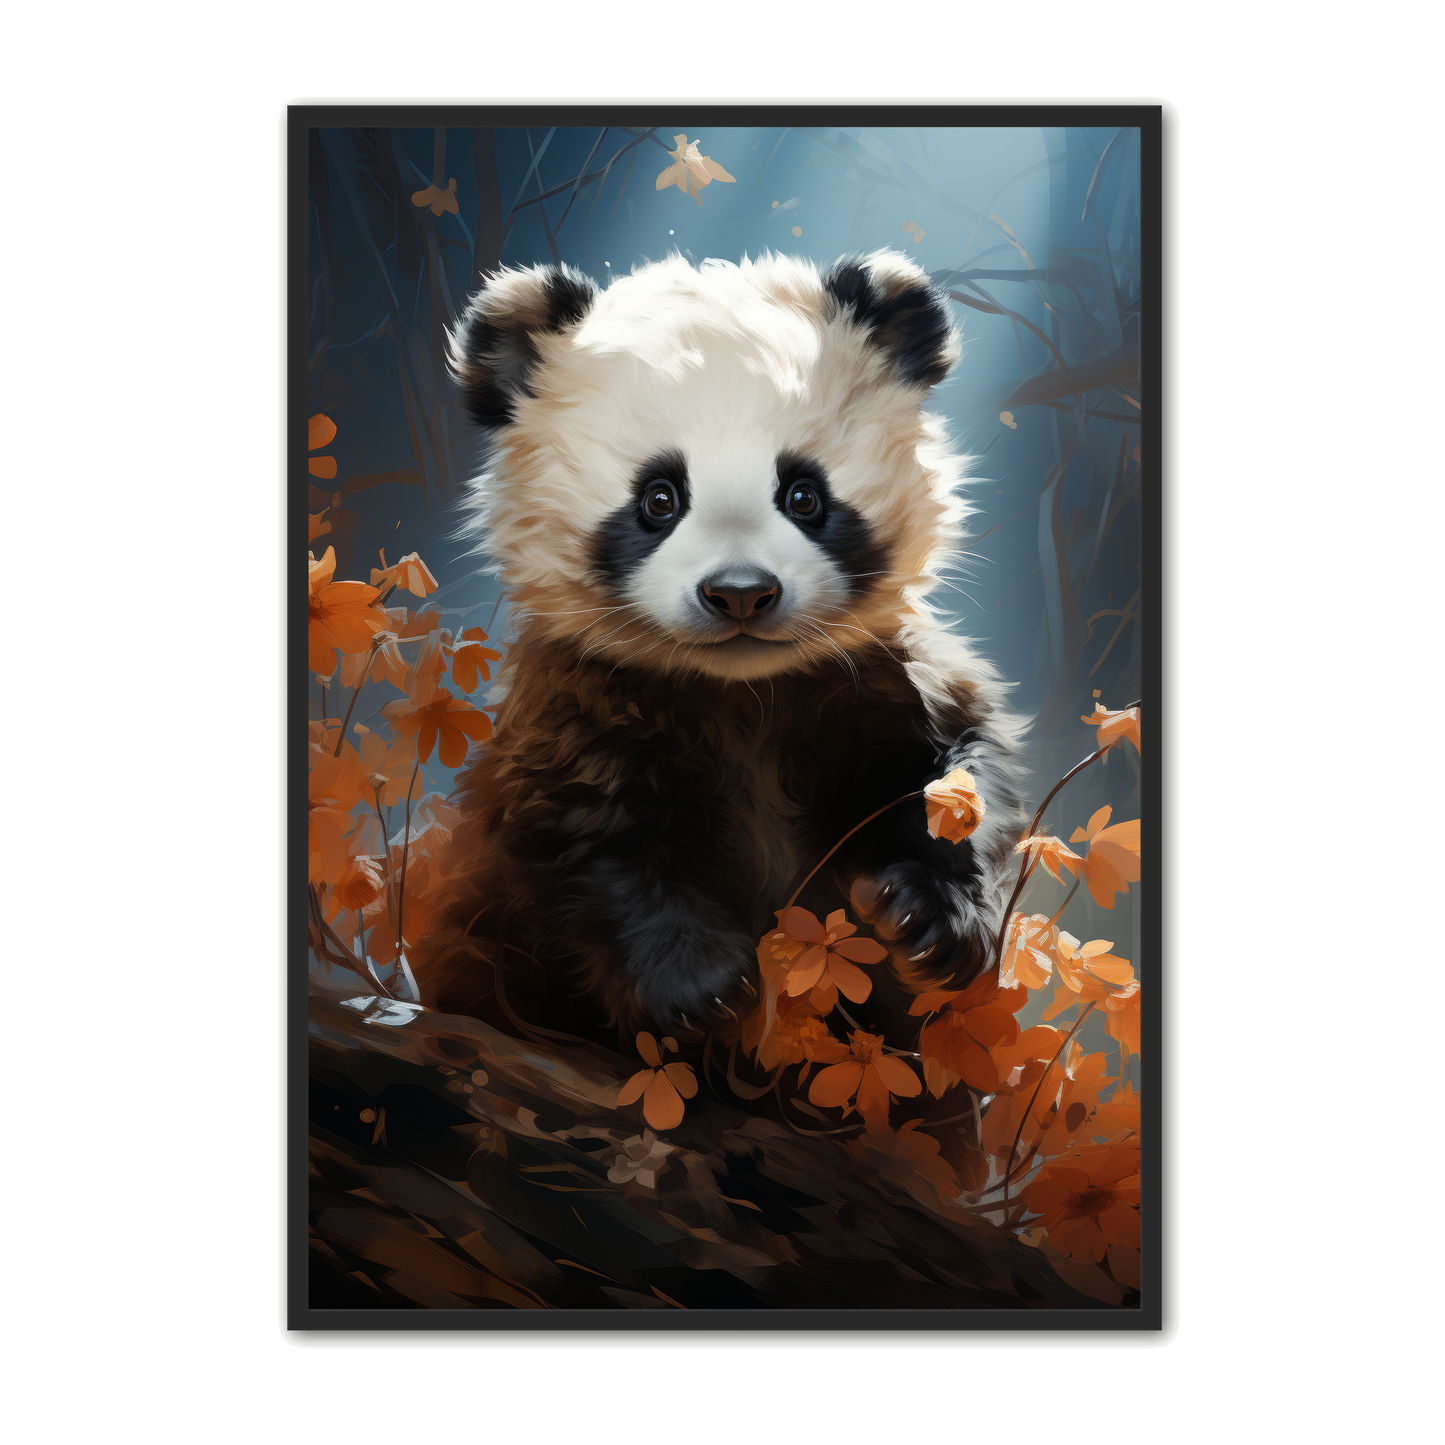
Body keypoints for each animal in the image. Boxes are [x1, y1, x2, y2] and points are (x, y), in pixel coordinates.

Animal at [417, 248, 1028, 1036]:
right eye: (658, 498)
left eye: (804, 494)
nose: (740, 592)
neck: (744, 691)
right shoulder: (581, 698)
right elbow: (580, 832)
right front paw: (699, 982)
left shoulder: (883, 676)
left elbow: (957, 780)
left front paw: (925, 920)